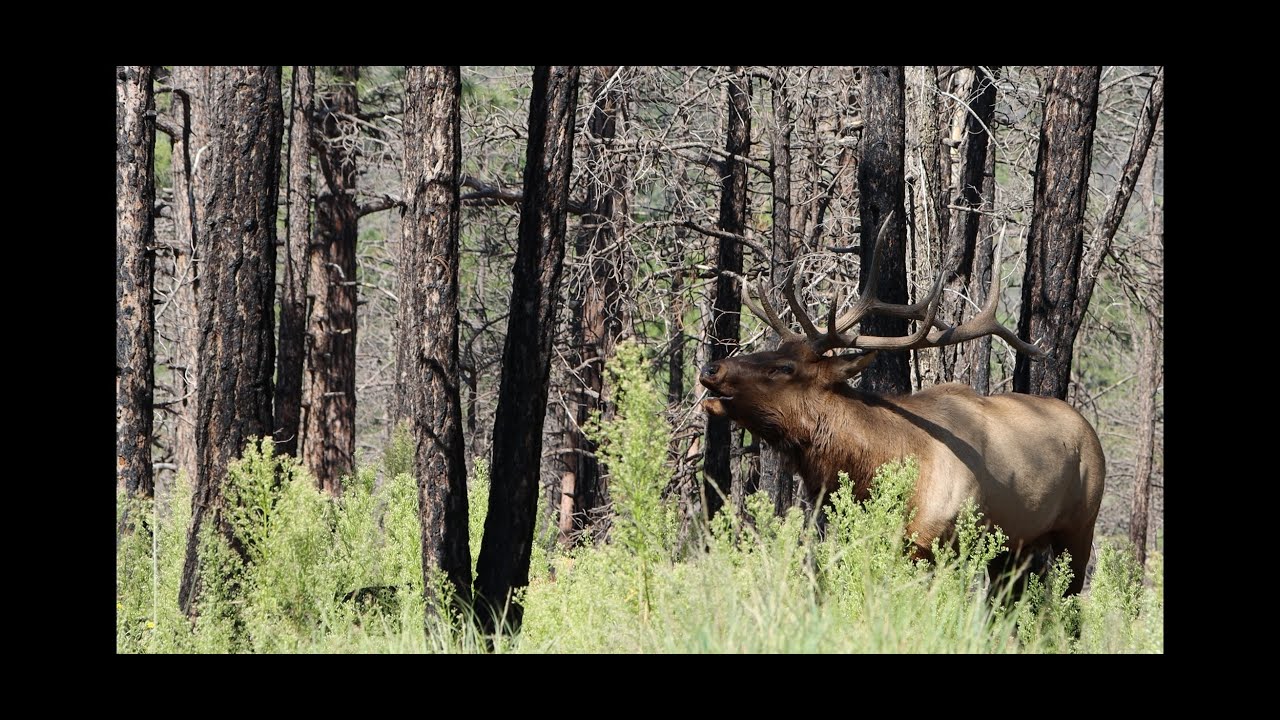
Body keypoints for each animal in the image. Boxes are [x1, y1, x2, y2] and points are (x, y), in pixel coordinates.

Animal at [699, 213, 1105, 594]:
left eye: (785, 367)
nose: (711, 367)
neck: (877, 467)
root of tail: (1089, 430)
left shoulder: (933, 543)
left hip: (1079, 526)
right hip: (1015, 547)